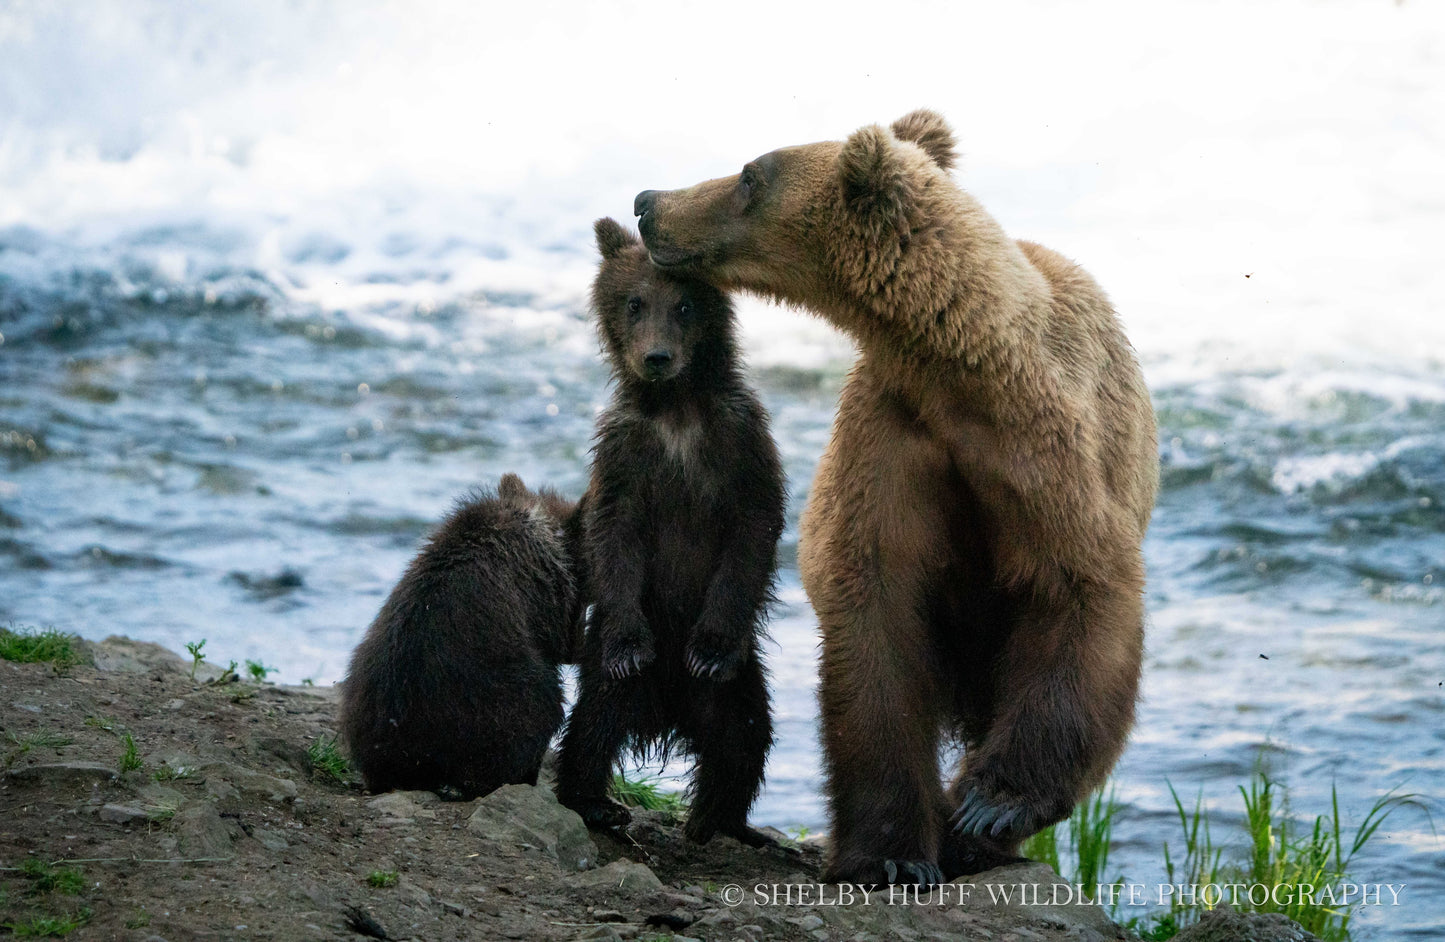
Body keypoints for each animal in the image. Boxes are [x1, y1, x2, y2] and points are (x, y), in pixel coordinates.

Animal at [553, 217, 786, 847]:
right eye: (634, 302)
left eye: (684, 304)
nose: (656, 357)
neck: (677, 408)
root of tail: (670, 711)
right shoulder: (626, 451)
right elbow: (612, 531)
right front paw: (631, 646)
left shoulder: (739, 439)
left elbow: (754, 525)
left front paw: (707, 648)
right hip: (613, 655)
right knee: (594, 721)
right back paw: (595, 801)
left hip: (738, 680)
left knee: (743, 734)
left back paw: (719, 820)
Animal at [632, 110, 1159, 885]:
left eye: (750, 176)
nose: (648, 202)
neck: (961, 382)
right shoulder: (893, 442)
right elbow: (875, 617)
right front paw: (890, 854)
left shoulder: (1048, 461)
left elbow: (1079, 592)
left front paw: (987, 805)